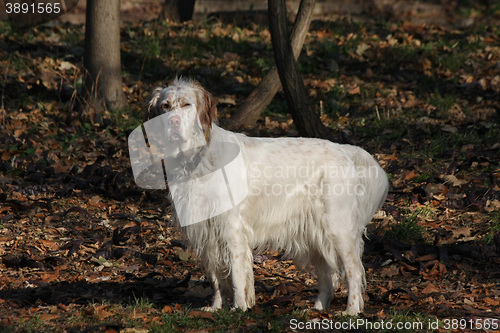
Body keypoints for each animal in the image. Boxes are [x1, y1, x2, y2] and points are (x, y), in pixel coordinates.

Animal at [146, 78, 388, 314]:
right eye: (165, 106)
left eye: (187, 104)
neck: (196, 158)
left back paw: (351, 311)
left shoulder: (232, 230)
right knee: (329, 276)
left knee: (354, 270)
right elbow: (215, 278)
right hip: (314, 234)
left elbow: (236, 275)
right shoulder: (205, 233)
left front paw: (239, 308)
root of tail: (345, 150)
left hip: (338, 229)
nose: (172, 122)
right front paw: (215, 307)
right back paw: (317, 310)